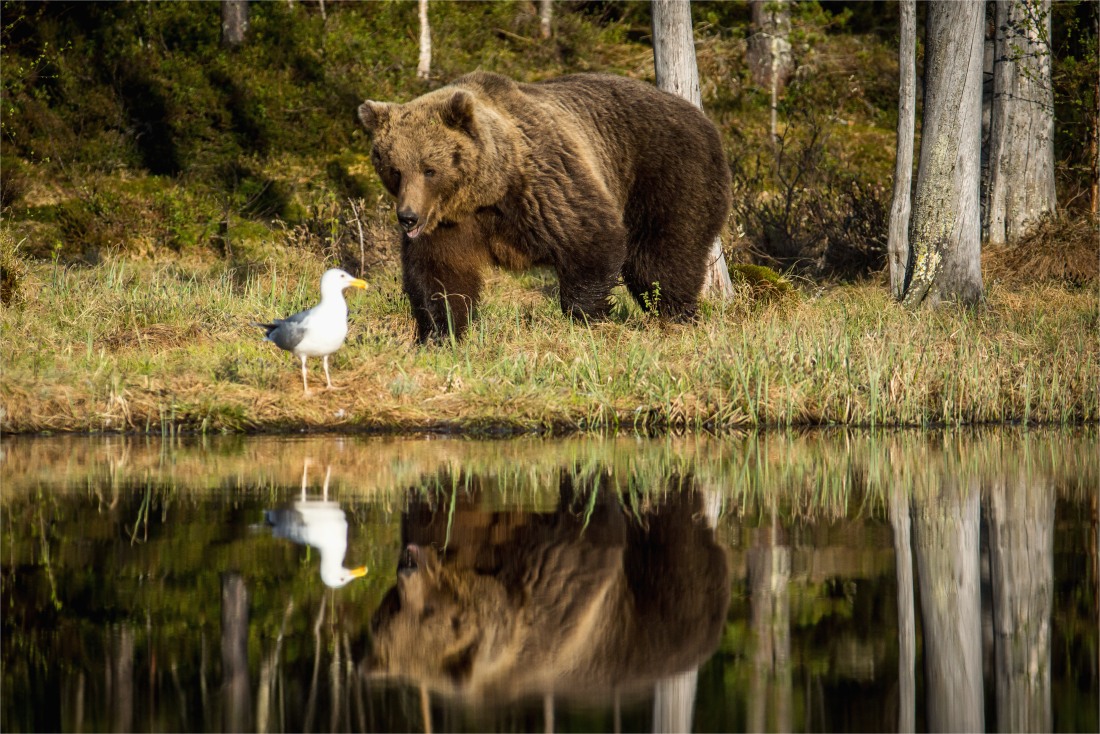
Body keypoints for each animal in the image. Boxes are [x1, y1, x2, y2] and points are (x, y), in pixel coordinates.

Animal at [356, 71, 730, 341]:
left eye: (429, 169)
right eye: (394, 169)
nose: (407, 217)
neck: (488, 191)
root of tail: (703, 117)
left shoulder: (544, 188)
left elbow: (591, 239)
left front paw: (588, 318)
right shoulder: (450, 222)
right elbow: (440, 274)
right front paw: (441, 333)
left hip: (669, 173)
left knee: (661, 258)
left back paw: (677, 314)